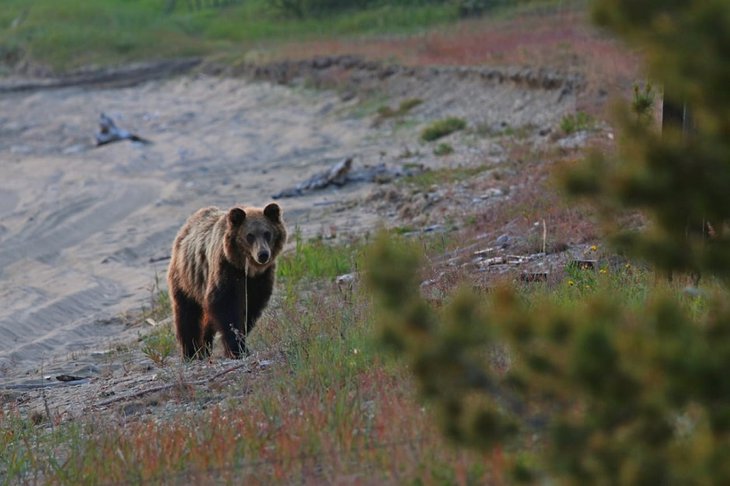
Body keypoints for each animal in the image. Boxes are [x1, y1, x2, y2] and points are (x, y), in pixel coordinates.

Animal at [167, 203, 287, 359]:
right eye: (250, 235)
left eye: (267, 233)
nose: (263, 254)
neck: (246, 269)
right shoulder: (226, 270)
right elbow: (226, 307)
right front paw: (237, 348)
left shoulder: (259, 280)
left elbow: (250, 308)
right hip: (186, 278)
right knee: (186, 314)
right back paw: (190, 351)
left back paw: (205, 346)